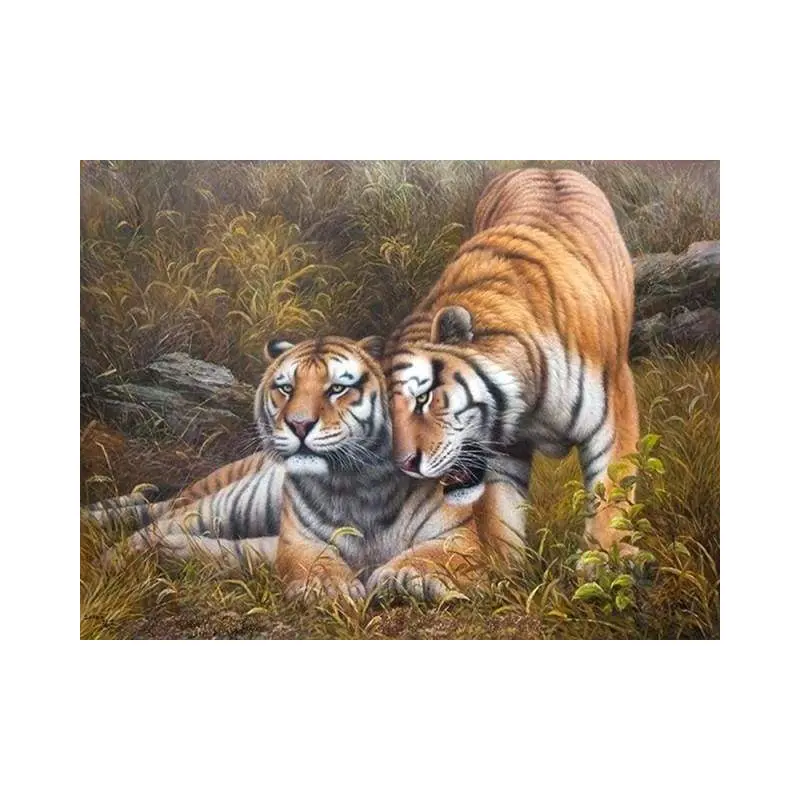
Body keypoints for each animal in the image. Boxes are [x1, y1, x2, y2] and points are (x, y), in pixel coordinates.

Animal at [384, 168, 640, 559]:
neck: (530, 402)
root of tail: (546, 167)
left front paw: (606, 562)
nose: (405, 465)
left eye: (424, 398)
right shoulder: (503, 451)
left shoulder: (615, 409)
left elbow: (610, 494)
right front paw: (507, 569)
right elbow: (499, 516)